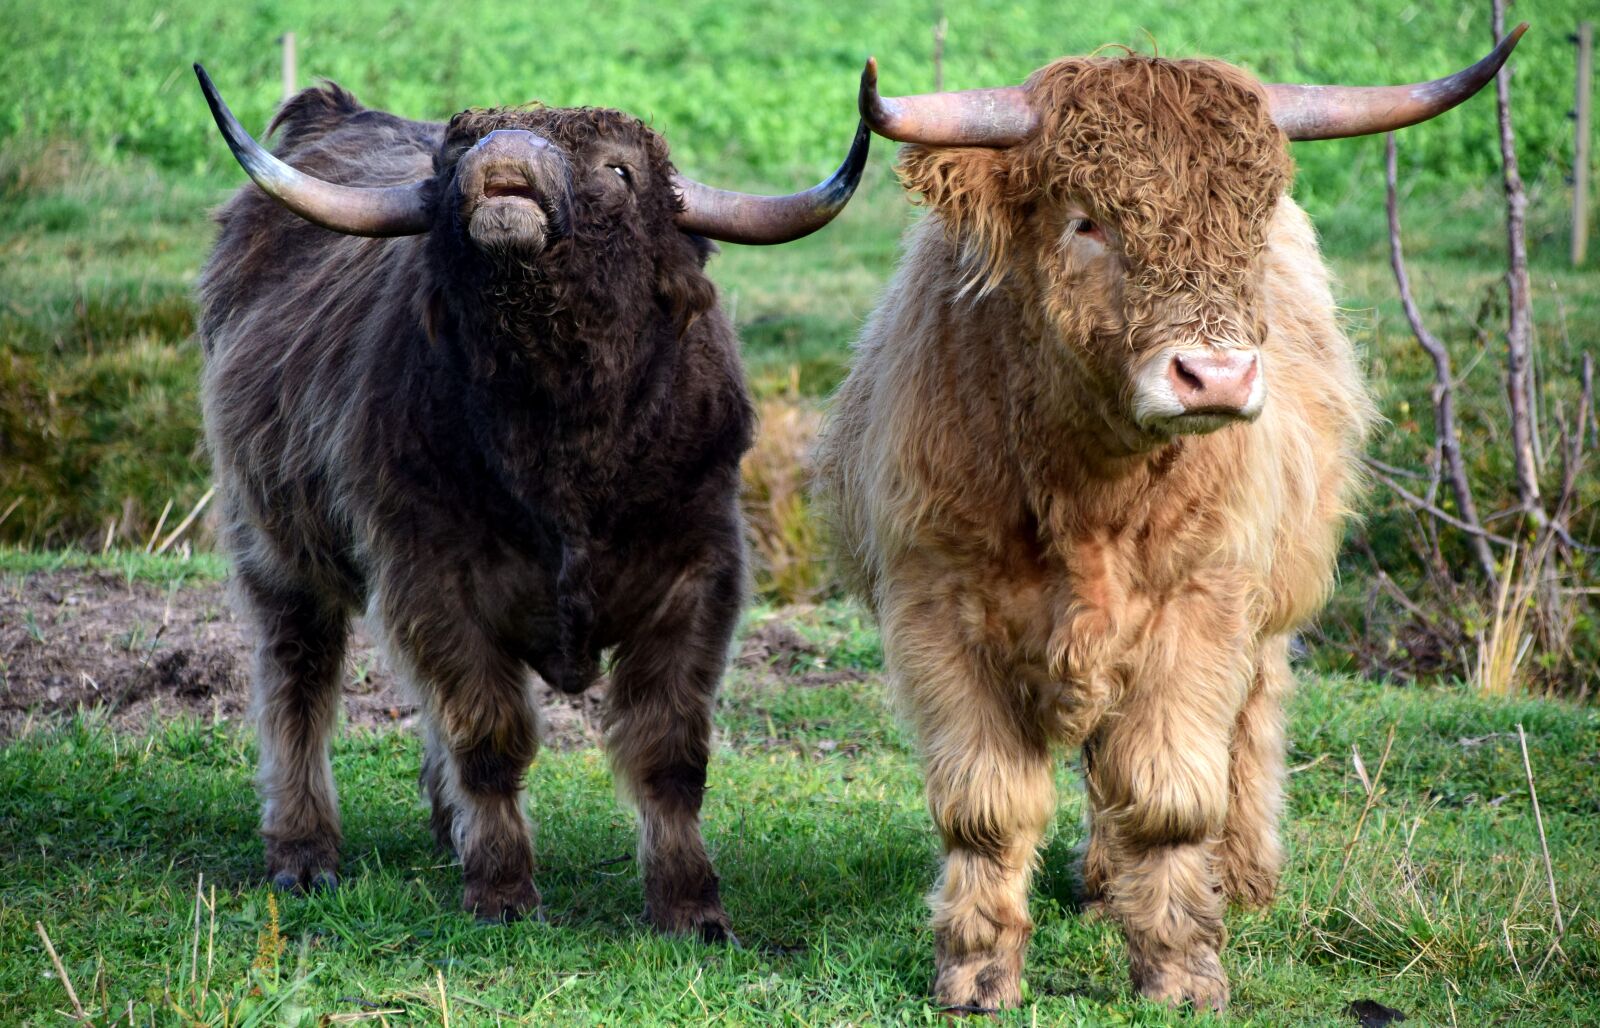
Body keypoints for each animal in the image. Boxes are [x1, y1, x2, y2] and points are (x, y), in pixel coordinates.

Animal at [192, 65, 867, 936]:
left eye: (619, 169)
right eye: (455, 158)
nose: (505, 160)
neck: (564, 447)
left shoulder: (699, 576)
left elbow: (669, 750)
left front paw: (691, 905)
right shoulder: (430, 574)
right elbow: (487, 734)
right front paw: (503, 890)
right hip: (273, 541)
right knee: (296, 678)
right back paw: (304, 855)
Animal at [815, 29, 1524, 1011]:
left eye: (1248, 221)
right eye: (1086, 220)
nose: (1216, 376)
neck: (1086, 492)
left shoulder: (1201, 604)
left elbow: (1169, 795)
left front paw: (1185, 973)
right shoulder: (934, 608)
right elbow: (984, 807)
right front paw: (976, 972)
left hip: (1267, 611)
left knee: (1250, 728)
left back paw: (1246, 877)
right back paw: (1102, 885)